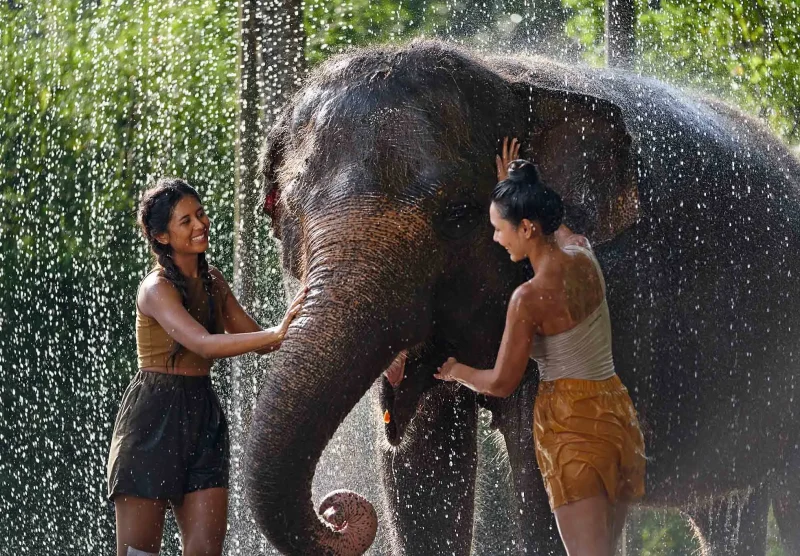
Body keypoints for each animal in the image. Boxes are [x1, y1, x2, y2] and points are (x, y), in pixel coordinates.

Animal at [243, 39, 800, 555]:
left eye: (456, 215)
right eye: (281, 212)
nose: (335, 511)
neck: (504, 78)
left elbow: (542, 467)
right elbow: (419, 467)